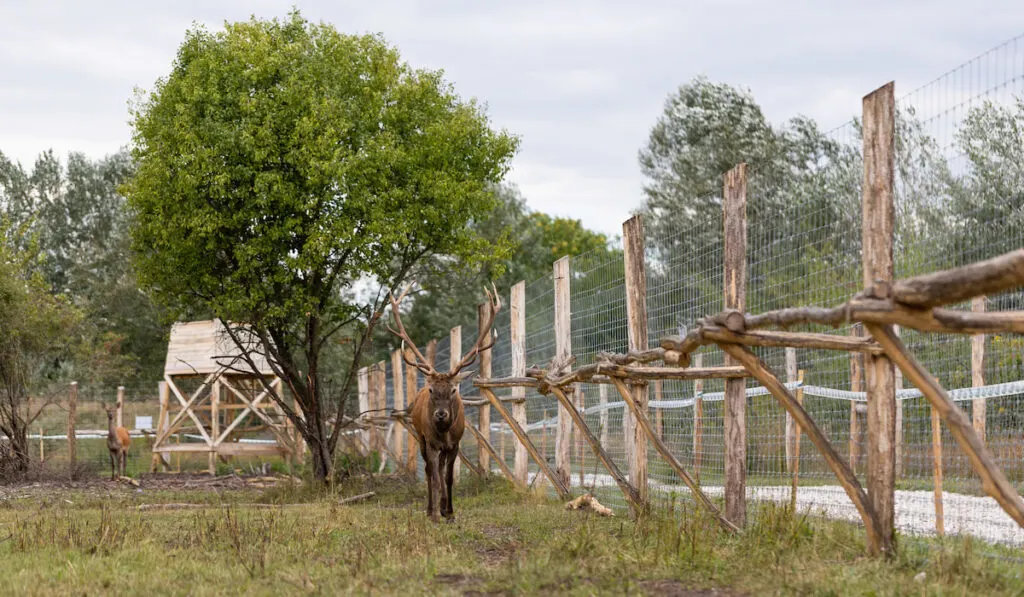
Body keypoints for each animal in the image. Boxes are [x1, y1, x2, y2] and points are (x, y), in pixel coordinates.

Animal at [385, 282, 501, 520]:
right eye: (431, 390)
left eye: (454, 389)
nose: (441, 414)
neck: (445, 432)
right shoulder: (430, 441)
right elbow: (435, 476)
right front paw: (437, 513)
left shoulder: (455, 443)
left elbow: (448, 477)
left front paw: (449, 511)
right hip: (420, 436)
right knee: (429, 470)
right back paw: (431, 509)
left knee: (438, 468)